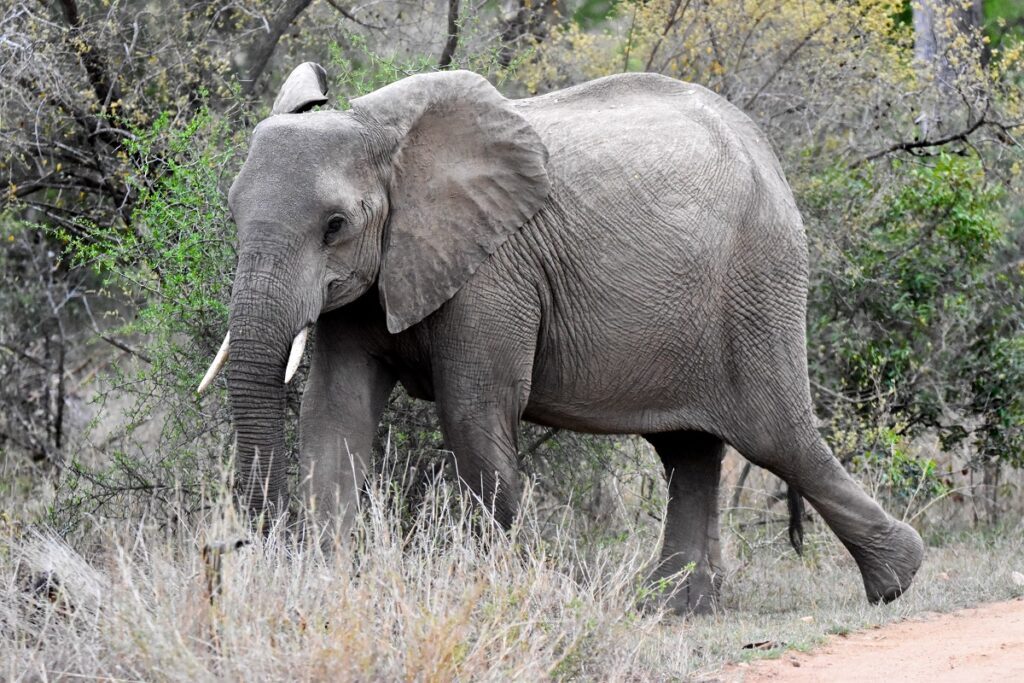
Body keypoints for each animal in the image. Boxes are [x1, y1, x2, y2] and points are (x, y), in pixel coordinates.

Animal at [199, 62, 929, 614]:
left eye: (335, 225)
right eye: (231, 212)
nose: (239, 548)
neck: (384, 138)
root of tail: (766, 152)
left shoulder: (494, 270)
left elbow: (473, 416)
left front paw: (532, 590)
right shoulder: (369, 281)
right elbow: (334, 414)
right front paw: (326, 589)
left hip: (758, 281)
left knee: (777, 436)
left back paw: (897, 581)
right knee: (688, 450)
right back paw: (675, 607)